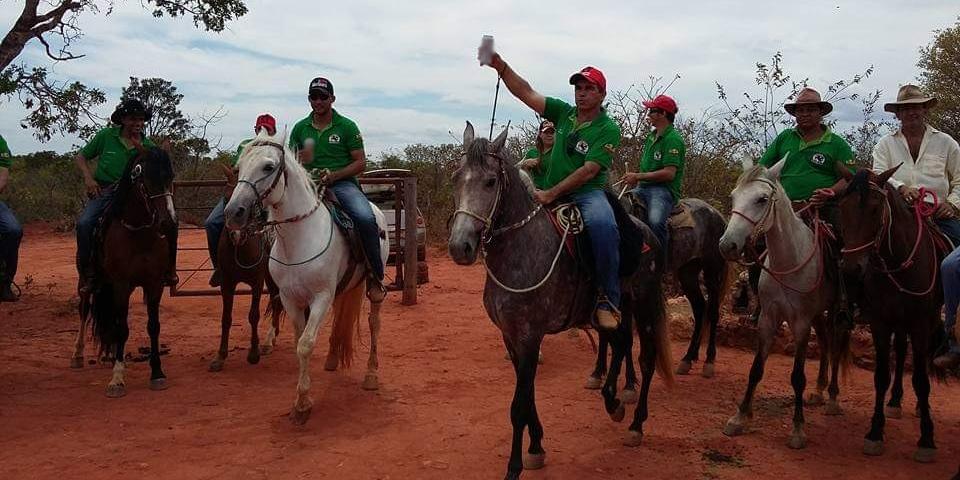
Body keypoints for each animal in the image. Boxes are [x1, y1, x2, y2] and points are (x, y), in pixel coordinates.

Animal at [208, 167, 284, 374]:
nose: (236, 234)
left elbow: (253, 315)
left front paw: (254, 353)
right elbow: (226, 318)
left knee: (276, 301)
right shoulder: (227, 283)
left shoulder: (257, 282)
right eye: (226, 198)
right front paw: (220, 356)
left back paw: (268, 342)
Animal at [225, 130, 390, 424]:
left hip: (373, 287)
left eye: (268, 166)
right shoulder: (290, 298)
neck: (299, 239)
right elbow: (298, 342)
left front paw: (302, 404)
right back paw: (333, 359)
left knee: (374, 323)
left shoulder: (320, 298)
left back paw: (371, 374)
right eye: (238, 167)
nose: (234, 212)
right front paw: (300, 400)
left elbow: (306, 344)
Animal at [716, 161, 844, 450]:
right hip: (818, 315)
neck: (788, 263)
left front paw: (797, 429)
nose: (728, 245)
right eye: (733, 196)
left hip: (834, 312)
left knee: (836, 346)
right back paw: (819, 390)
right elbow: (755, 370)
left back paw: (832, 396)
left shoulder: (800, 324)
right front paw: (740, 417)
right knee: (825, 342)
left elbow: (797, 376)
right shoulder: (768, 319)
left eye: (762, 199)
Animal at [836, 167, 948, 464]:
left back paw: (918, 407)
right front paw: (875, 432)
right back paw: (895, 401)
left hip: (929, 319)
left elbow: (921, 380)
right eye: (843, 208)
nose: (851, 269)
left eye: (876, 210)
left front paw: (927, 439)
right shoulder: (880, 323)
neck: (899, 261)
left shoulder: (920, 325)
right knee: (899, 350)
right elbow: (881, 376)